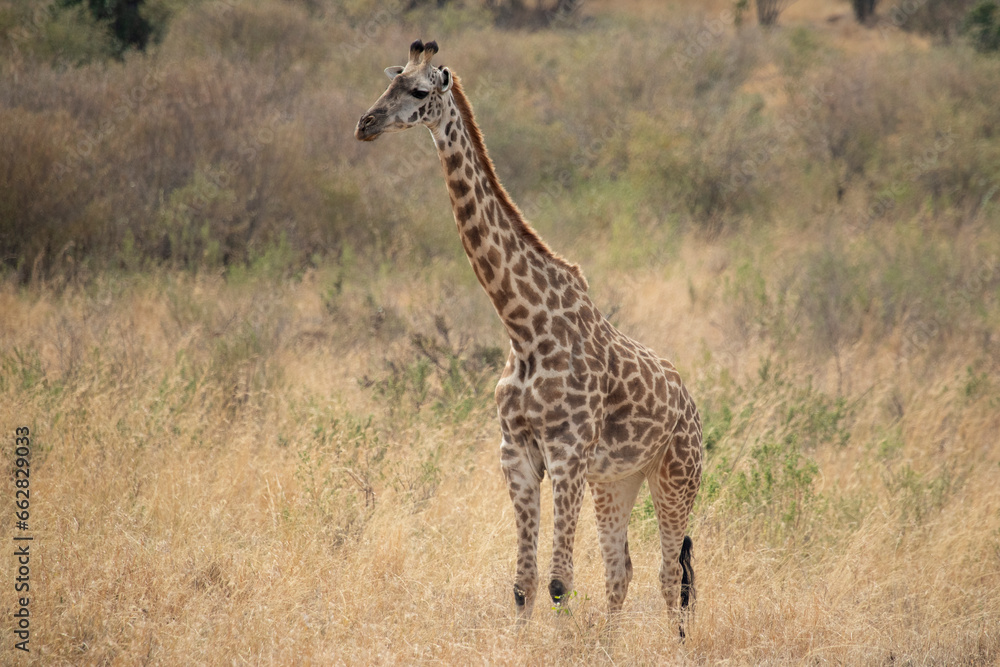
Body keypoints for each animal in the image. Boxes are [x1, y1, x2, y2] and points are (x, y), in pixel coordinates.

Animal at [354, 40, 704, 628]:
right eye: (389, 83)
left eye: (420, 92)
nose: (366, 124)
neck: (524, 327)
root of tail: (693, 406)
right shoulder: (515, 453)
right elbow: (525, 584)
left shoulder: (567, 454)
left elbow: (561, 582)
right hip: (616, 481)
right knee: (622, 571)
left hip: (677, 475)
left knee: (671, 576)